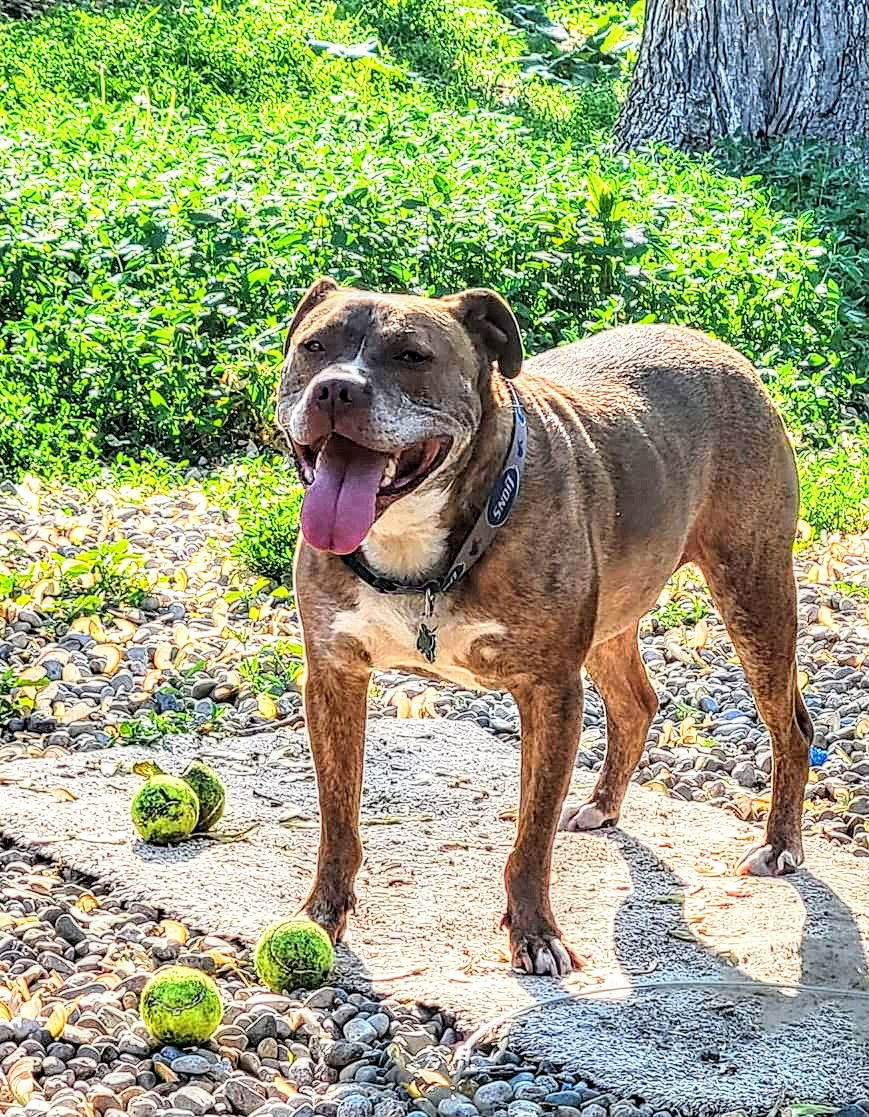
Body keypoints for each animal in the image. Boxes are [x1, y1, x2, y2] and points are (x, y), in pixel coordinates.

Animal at [274, 277, 808, 978]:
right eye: (314, 347)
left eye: (412, 356)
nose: (335, 389)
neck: (415, 548)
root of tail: (716, 346)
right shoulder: (334, 677)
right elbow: (338, 815)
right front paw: (320, 914)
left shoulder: (550, 692)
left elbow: (532, 834)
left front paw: (534, 934)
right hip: (617, 615)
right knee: (636, 703)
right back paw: (604, 805)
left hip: (755, 595)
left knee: (790, 725)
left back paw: (780, 844)